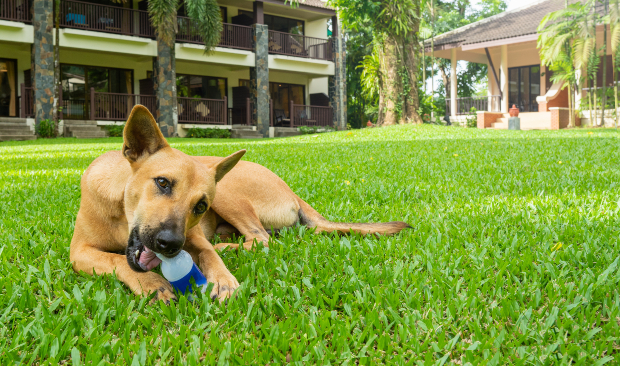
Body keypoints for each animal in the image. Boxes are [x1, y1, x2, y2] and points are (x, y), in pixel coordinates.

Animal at [70, 104, 412, 302]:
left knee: (260, 238)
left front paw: (222, 278)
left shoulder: (194, 235)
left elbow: (208, 254)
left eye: (200, 206)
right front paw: (151, 283)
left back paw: (227, 247)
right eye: (162, 183)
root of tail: (291, 191)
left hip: (228, 193)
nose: (170, 245)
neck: (120, 211)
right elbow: (115, 261)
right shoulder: (79, 252)